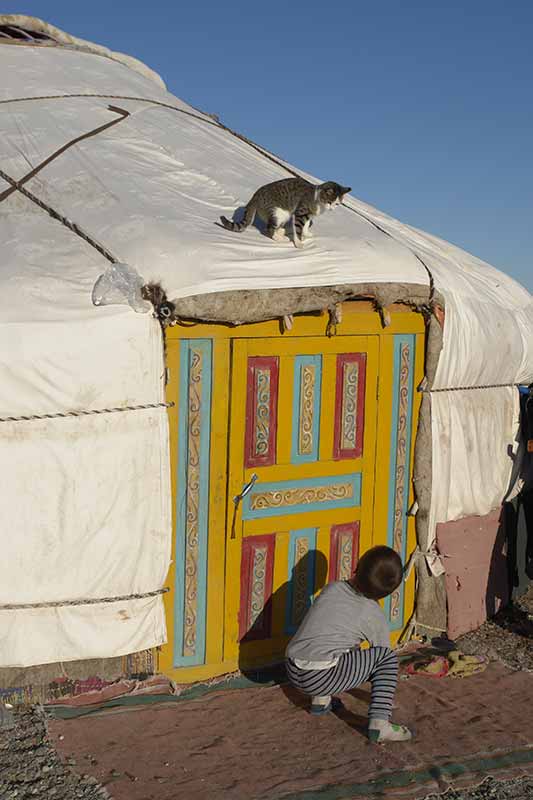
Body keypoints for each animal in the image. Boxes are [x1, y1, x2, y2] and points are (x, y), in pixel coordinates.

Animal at [219, 177, 350, 247]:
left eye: (337, 204)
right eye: (329, 202)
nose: (332, 208)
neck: (317, 200)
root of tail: (254, 197)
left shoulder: (309, 215)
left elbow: (306, 225)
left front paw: (306, 233)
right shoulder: (301, 212)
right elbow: (298, 228)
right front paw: (298, 243)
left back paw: (282, 231)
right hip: (278, 212)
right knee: (269, 228)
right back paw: (281, 238)